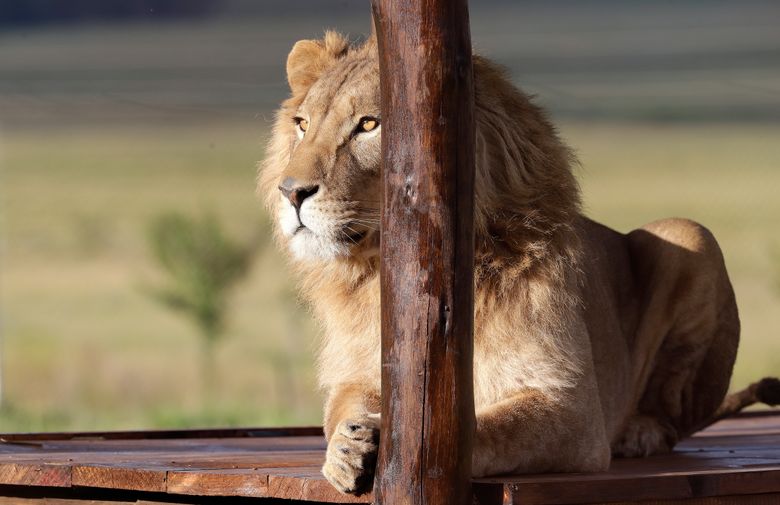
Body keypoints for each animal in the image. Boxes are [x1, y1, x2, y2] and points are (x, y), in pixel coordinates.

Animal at [258, 30, 780, 492]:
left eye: (369, 124)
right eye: (303, 125)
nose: (291, 191)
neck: (381, 266)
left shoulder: (571, 406)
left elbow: (489, 427)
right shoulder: (360, 369)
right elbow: (341, 409)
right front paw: (347, 453)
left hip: (690, 234)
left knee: (676, 418)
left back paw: (640, 432)